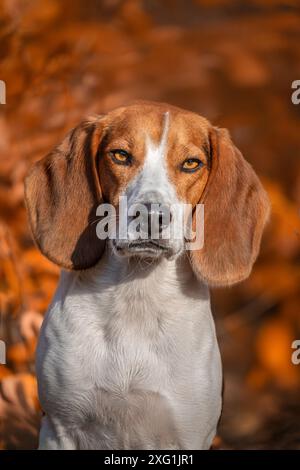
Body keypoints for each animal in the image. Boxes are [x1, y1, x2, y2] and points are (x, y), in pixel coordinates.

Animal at [24, 102, 270, 448]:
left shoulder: (189, 434)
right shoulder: (60, 429)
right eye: (120, 155)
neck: (137, 296)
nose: (152, 215)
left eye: (191, 163)